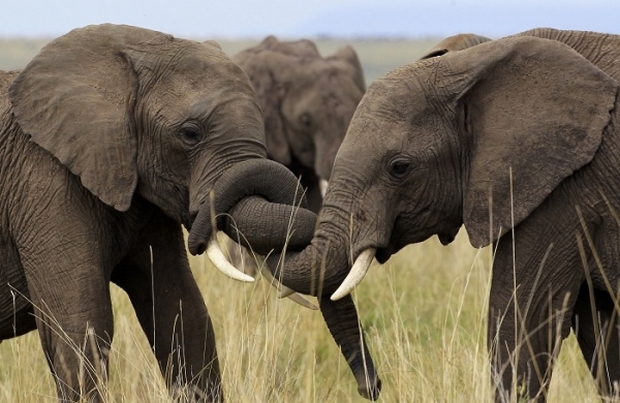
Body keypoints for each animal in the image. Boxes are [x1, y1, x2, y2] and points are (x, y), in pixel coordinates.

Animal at [239, 29, 620, 403]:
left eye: (399, 167)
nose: (373, 388)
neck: (478, 59)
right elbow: (601, 332)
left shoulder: (563, 188)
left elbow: (522, 319)